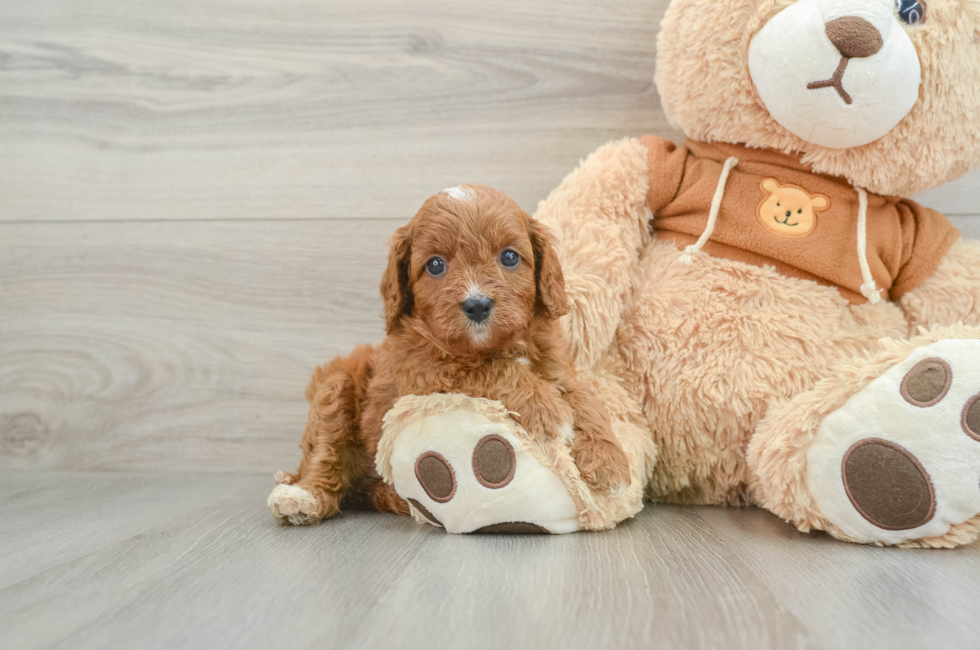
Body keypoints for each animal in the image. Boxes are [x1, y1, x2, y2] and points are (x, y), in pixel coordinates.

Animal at [272, 182, 632, 520]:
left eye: (509, 257)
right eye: (435, 265)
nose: (477, 305)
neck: (493, 344)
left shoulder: (557, 368)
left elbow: (584, 400)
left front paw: (610, 461)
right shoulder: (423, 373)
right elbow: (486, 369)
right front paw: (548, 410)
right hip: (335, 387)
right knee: (325, 456)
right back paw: (302, 497)